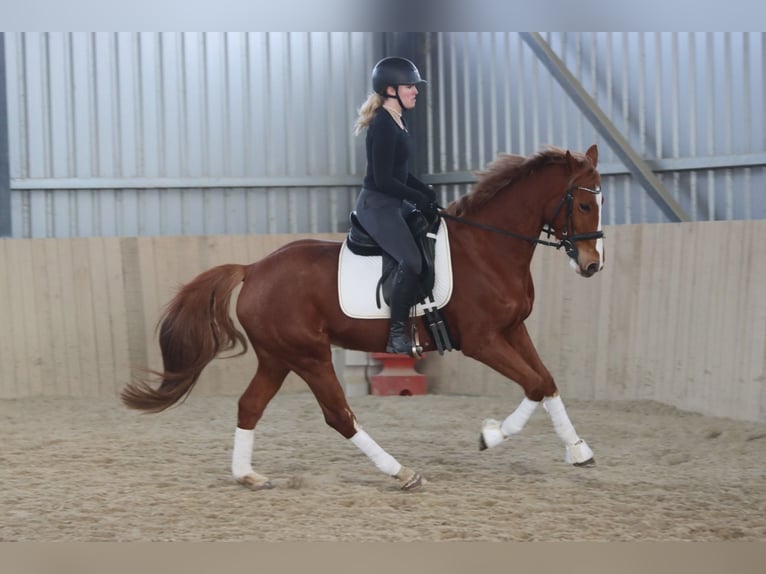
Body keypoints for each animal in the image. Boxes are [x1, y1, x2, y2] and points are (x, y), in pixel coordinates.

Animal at [121, 143, 608, 490]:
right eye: (584, 205)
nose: (592, 266)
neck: (487, 248)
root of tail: (254, 268)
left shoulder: (514, 329)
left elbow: (546, 382)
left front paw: (577, 450)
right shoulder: (482, 340)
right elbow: (535, 384)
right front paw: (491, 435)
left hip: (278, 357)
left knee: (250, 405)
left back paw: (247, 475)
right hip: (310, 356)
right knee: (339, 415)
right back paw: (401, 472)